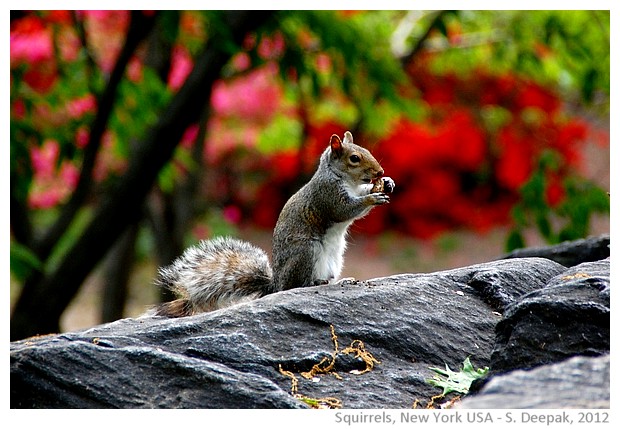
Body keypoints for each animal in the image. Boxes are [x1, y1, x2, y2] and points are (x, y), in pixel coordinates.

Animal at [151, 131, 392, 318]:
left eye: (365, 150)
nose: (380, 172)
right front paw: (372, 198)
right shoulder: (327, 195)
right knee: (297, 284)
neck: (345, 179)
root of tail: (276, 284)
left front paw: (386, 183)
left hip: (334, 259)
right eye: (354, 158)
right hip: (306, 251)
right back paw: (315, 284)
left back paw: (339, 282)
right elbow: (345, 210)